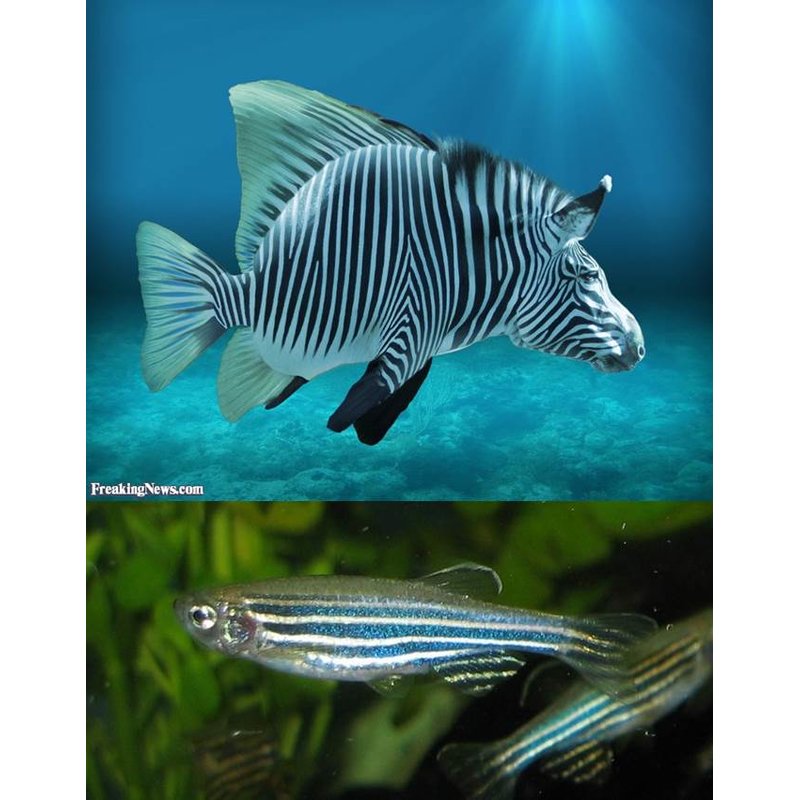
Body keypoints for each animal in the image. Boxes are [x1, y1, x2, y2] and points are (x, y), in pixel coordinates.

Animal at [138, 81, 645, 445]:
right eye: (586, 275)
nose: (640, 347)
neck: (475, 267)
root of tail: (233, 290)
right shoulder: (414, 327)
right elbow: (367, 403)